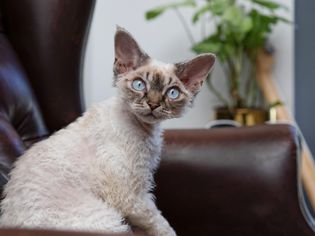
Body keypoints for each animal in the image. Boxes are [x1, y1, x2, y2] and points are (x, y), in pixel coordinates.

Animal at [0, 26, 216, 235]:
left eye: (172, 93)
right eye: (139, 84)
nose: (153, 104)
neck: (145, 130)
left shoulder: (141, 187)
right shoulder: (133, 197)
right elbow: (162, 225)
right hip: (110, 220)